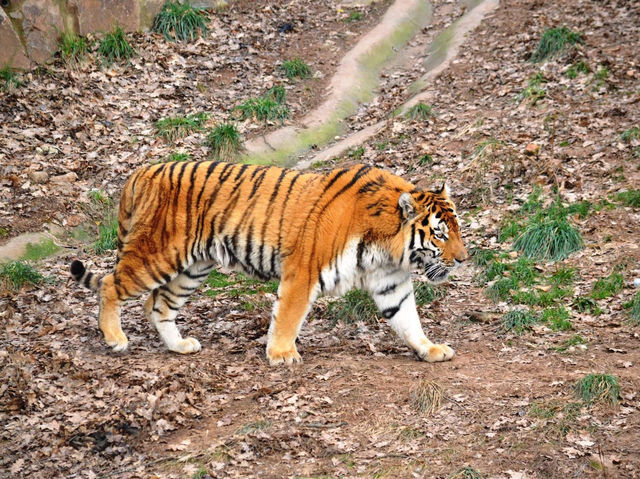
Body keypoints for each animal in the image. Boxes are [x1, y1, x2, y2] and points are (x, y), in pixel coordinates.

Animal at [71, 163, 470, 366]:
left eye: (457, 229)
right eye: (439, 234)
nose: (464, 259)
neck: (387, 246)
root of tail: (142, 172)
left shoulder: (391, 282)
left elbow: (408, 320)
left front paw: (429, 349)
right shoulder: (303, 271)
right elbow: (289, 316)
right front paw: (281, 354)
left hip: (193, 268)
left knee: (157, 305)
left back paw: (179, 346)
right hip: (157, 255)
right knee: (111, 285)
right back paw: (115, 339)